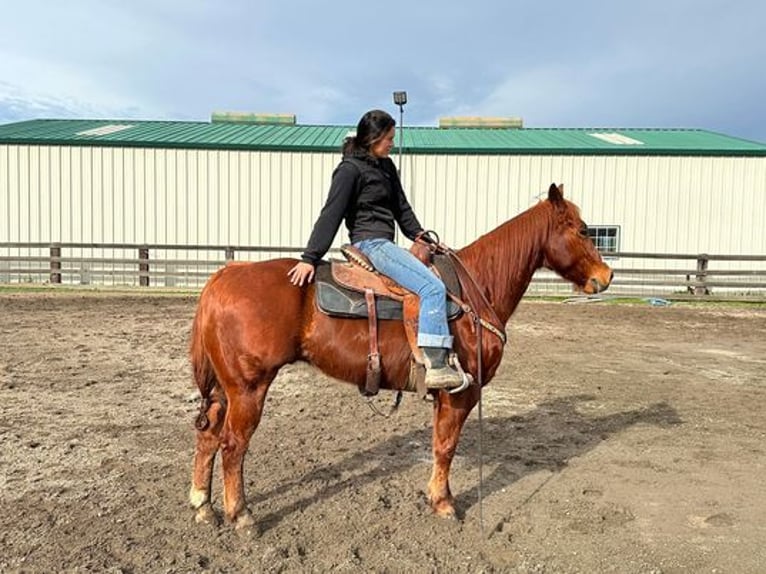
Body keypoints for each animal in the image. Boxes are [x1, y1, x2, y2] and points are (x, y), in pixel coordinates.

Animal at [189, 184, 616, 532]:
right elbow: (446, 446)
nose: (606, 276)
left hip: (227, 389)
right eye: (582, 229)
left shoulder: (444, 397)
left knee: (208, 435)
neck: (478, 289)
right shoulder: (463, 393)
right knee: (233, 445)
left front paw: (437, 497)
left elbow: (439, 443)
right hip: (249, 388)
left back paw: (203, 506)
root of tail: (224, 277)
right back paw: (241, 516)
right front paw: (444, 504)